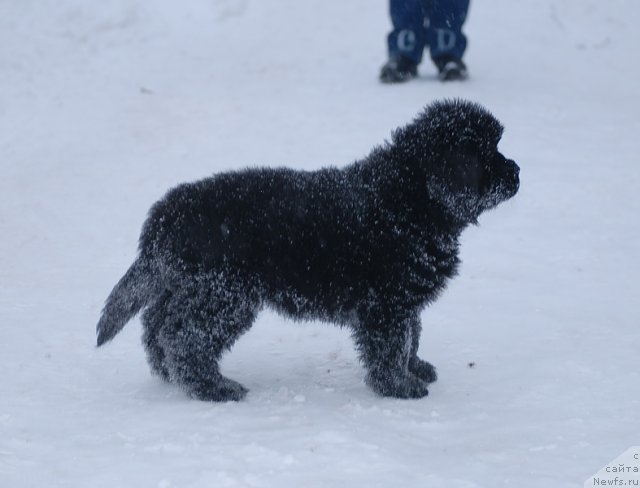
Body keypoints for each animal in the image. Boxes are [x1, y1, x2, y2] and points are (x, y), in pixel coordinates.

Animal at [100, 99, 520, 400]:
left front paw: (414, 368)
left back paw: (169, 373)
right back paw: (212, 388)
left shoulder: (404, 299)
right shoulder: (386, 302)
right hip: (224, 296)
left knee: (157, 324)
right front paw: (399, 386)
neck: (411, 199)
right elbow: (391, 345)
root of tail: (166, 213)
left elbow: (411, 335)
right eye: (487, 155)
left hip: (188, 287)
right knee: (184, 337)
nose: (517, 171)